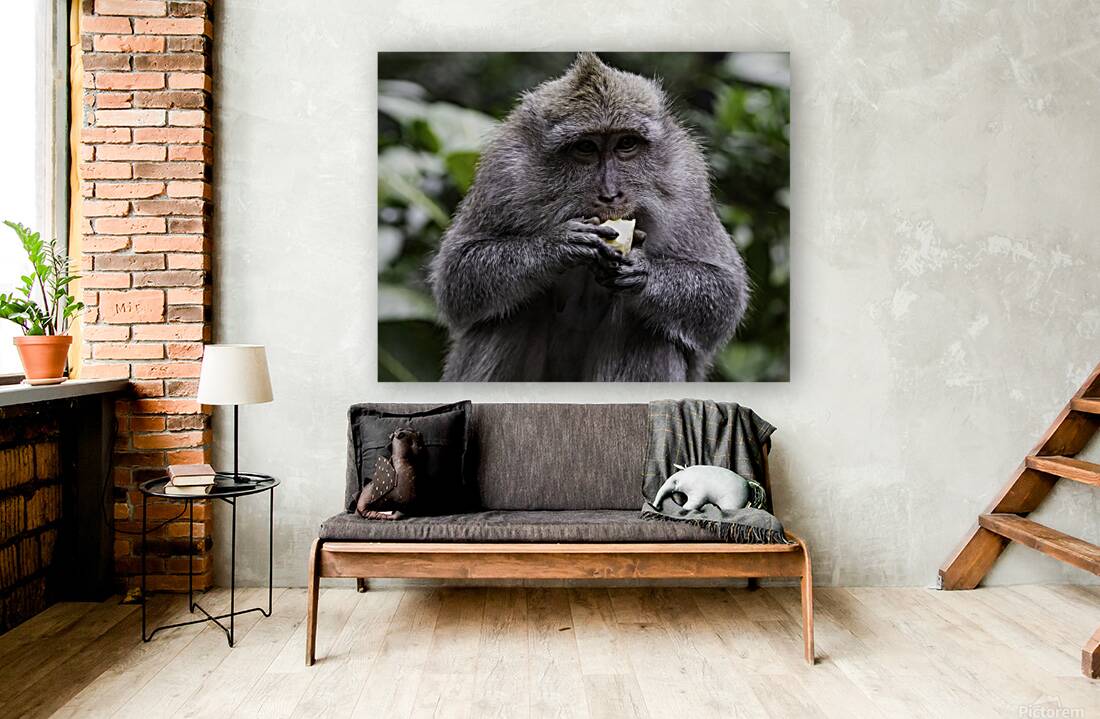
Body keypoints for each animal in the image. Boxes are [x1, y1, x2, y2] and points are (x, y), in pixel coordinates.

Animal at [428, 52, 750, 382]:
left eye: (626, 144)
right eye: (585, 147)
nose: (610, 194)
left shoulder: (686, 181)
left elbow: (725, 292)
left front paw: (643, 272)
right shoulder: (503, 172)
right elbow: (456, 275)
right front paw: (556, 247)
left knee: (646, 328)